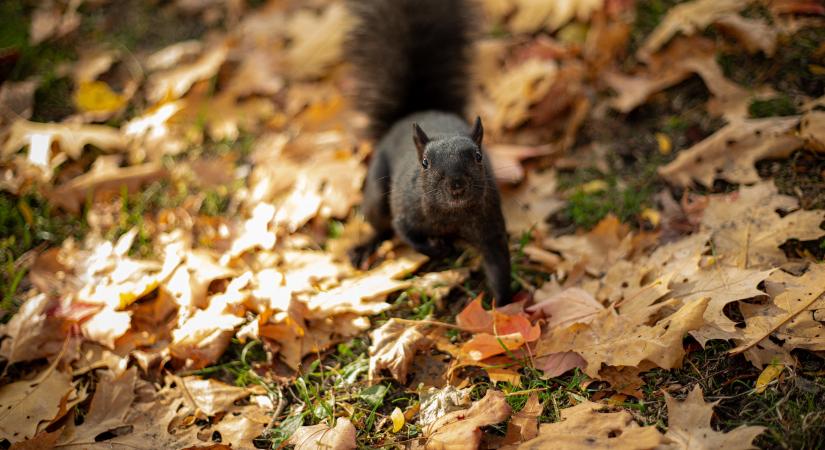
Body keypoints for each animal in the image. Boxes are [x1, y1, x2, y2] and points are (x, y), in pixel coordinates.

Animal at [344, 0, 512, 306]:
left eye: (478, 157)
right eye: (424, 163)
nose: (456, 185)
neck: (451, 216)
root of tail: (415, 112)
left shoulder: (490, 226)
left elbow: (498, 266)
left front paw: (503, 307)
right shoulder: (405, 211)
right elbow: (407, 234)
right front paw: (440, 249)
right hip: (377, 193)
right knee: (380, 225)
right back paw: (365, 247)